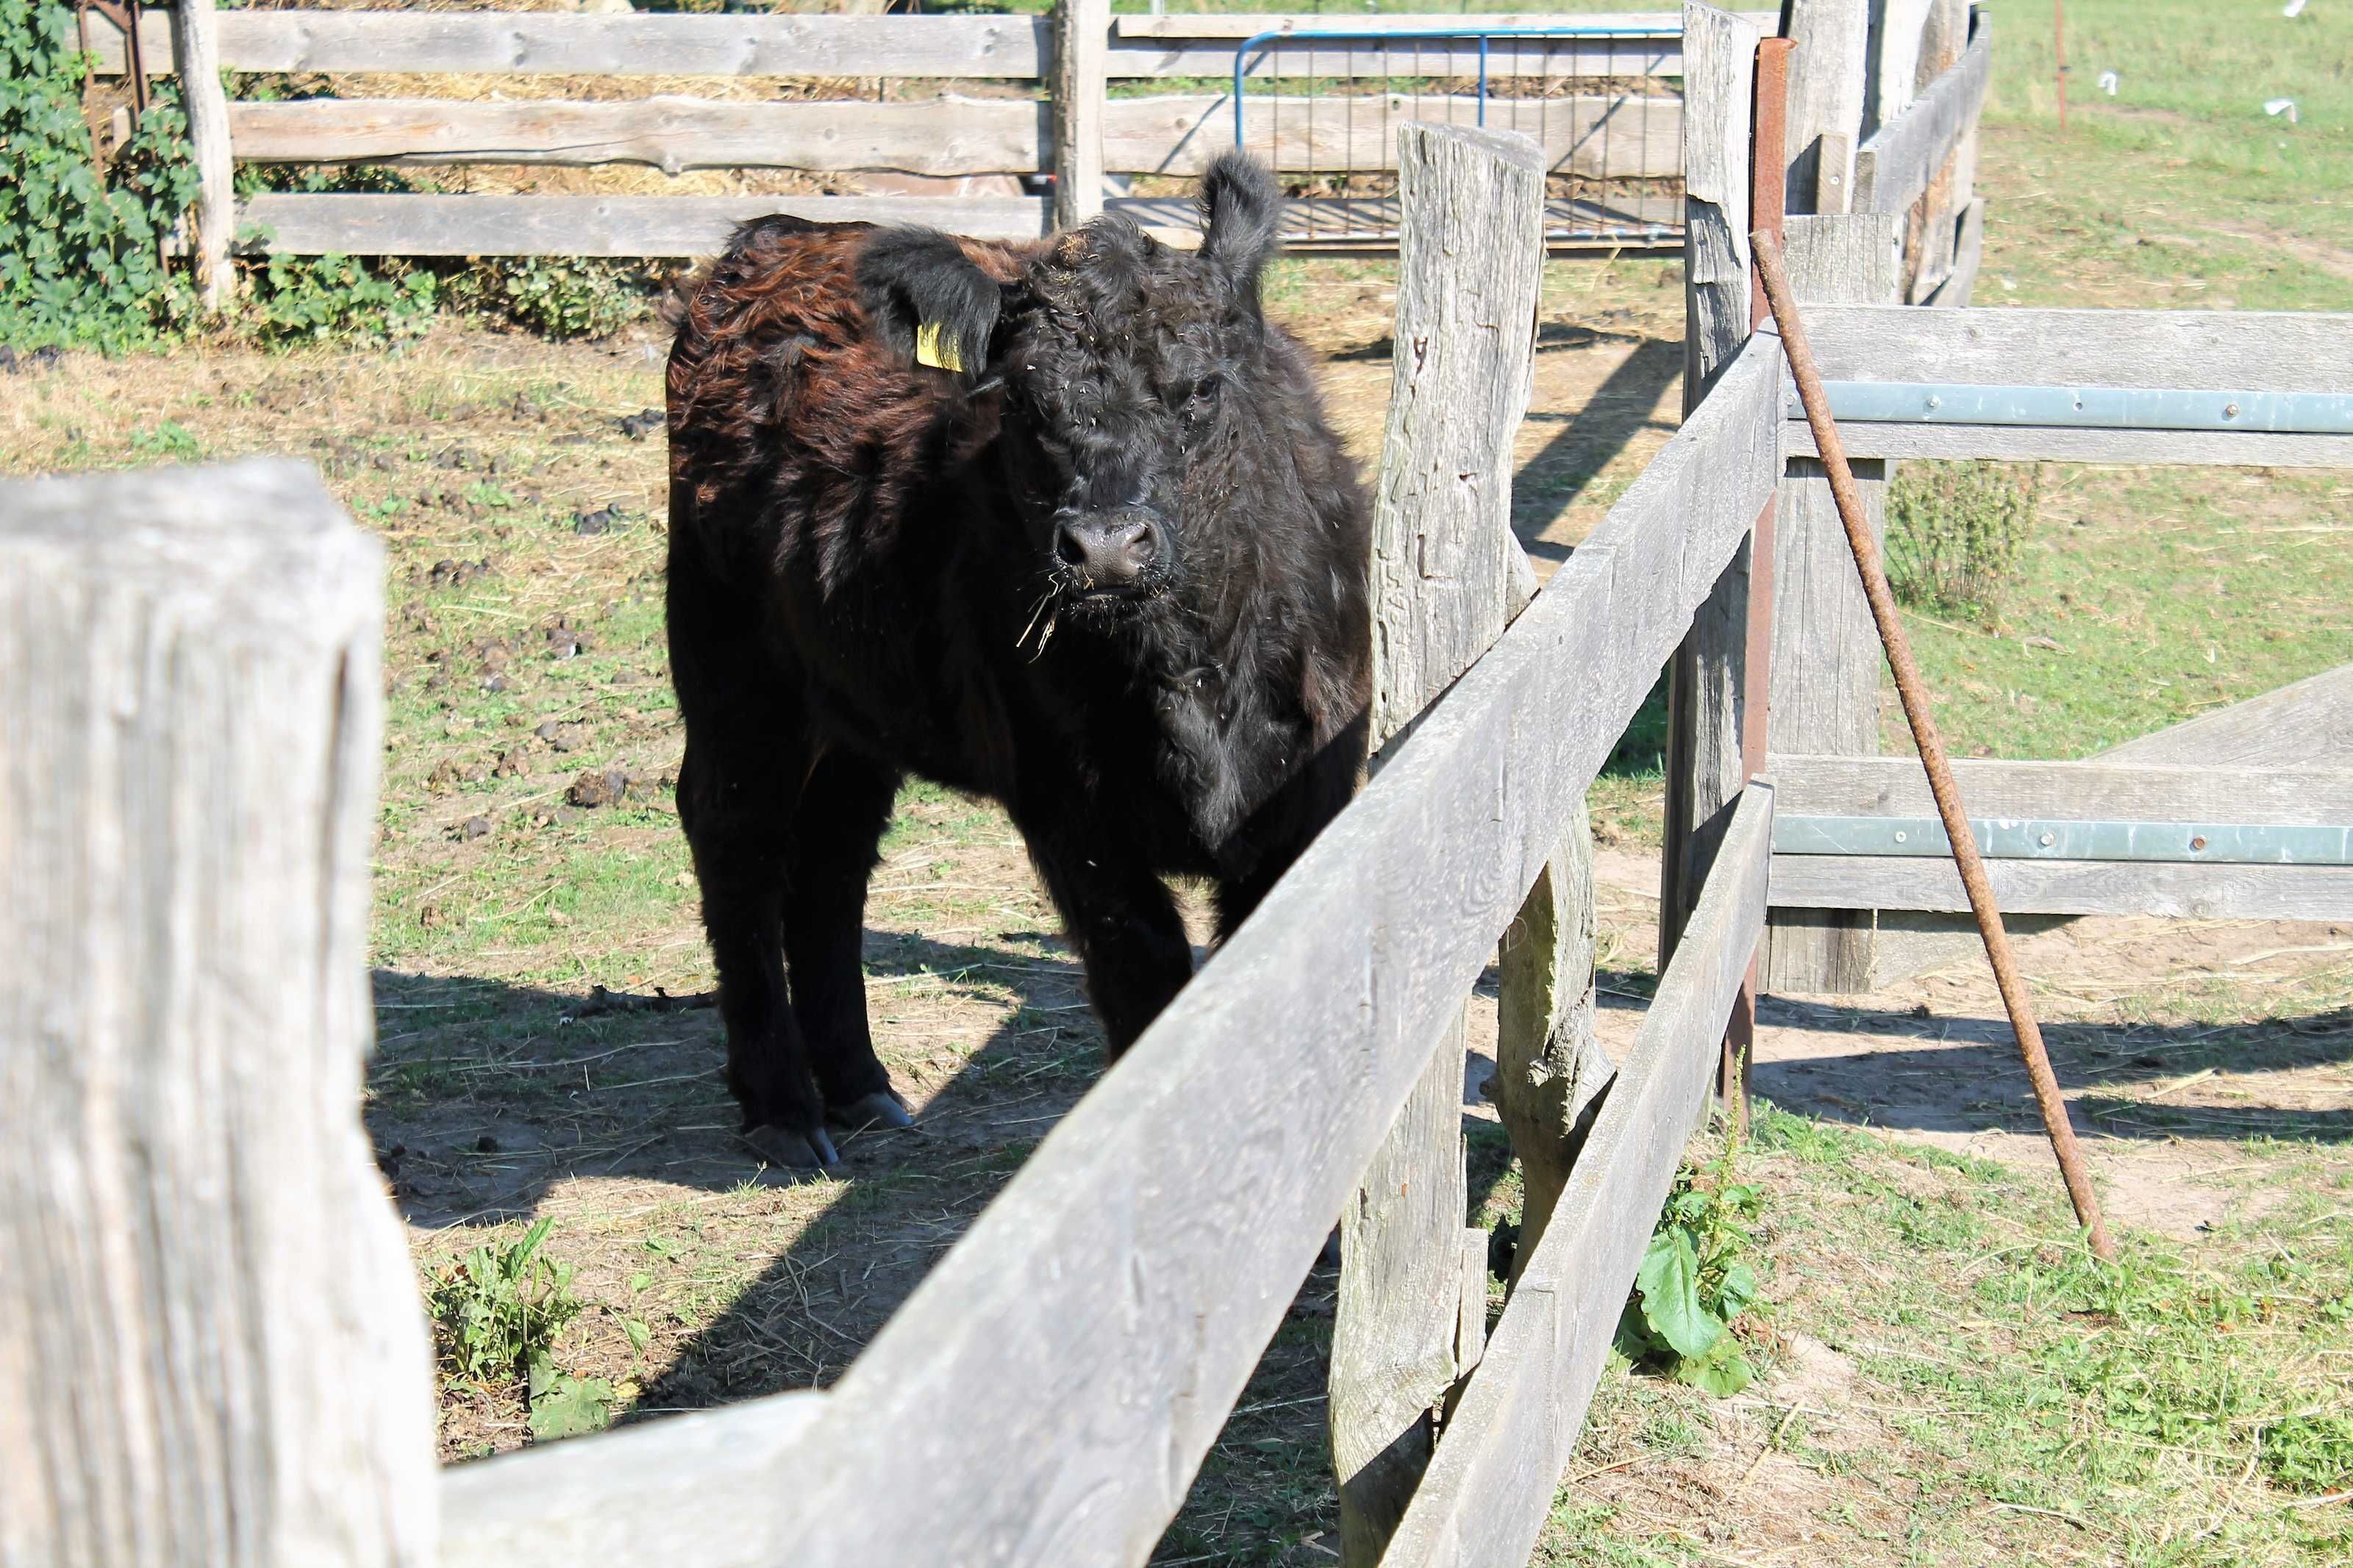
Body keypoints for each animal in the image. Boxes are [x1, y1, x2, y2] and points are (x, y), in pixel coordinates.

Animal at [664, 154, 1371, 1169]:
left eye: (1201, 388)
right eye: (1026, 400)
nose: (1106, 548)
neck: (1190, 673)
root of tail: (784, 233)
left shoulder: (1304, 797)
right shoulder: (1070, 815)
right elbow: (1145, 982)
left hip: (854, 704)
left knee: (832, 859)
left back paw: (860, 1085)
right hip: (731, 669)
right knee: (737, 838)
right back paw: (783, 1110)